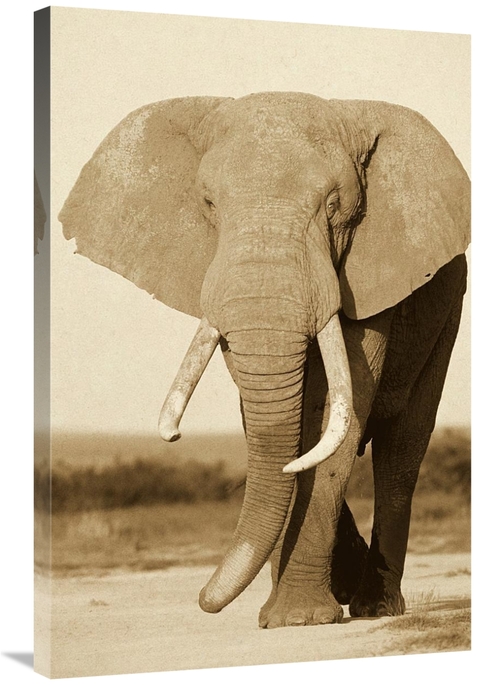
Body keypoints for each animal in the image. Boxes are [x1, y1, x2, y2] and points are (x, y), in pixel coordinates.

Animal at [59, 92, 470, 627]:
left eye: (335, 207)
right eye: (209, 204)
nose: (204, 600)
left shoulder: (369, 276)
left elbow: (333, 416)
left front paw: (298, 619)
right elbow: (277, 424)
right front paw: (289, 612)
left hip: (448, 311)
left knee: (401, 452)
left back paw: (375, 607)